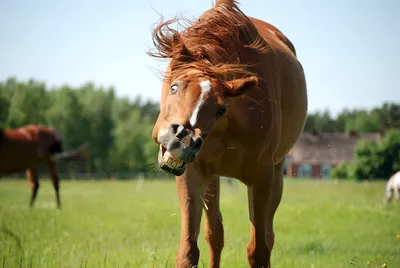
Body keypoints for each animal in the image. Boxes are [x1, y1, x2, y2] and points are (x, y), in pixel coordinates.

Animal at [148, 1, 308, 266]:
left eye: (220, 109)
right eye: (174, 87)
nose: (183, 140)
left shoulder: (262, 177)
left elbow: (259, 249)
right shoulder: (192, 174)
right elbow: (189, 250)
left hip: (276, 175)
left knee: (268, 236)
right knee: (215, 235)